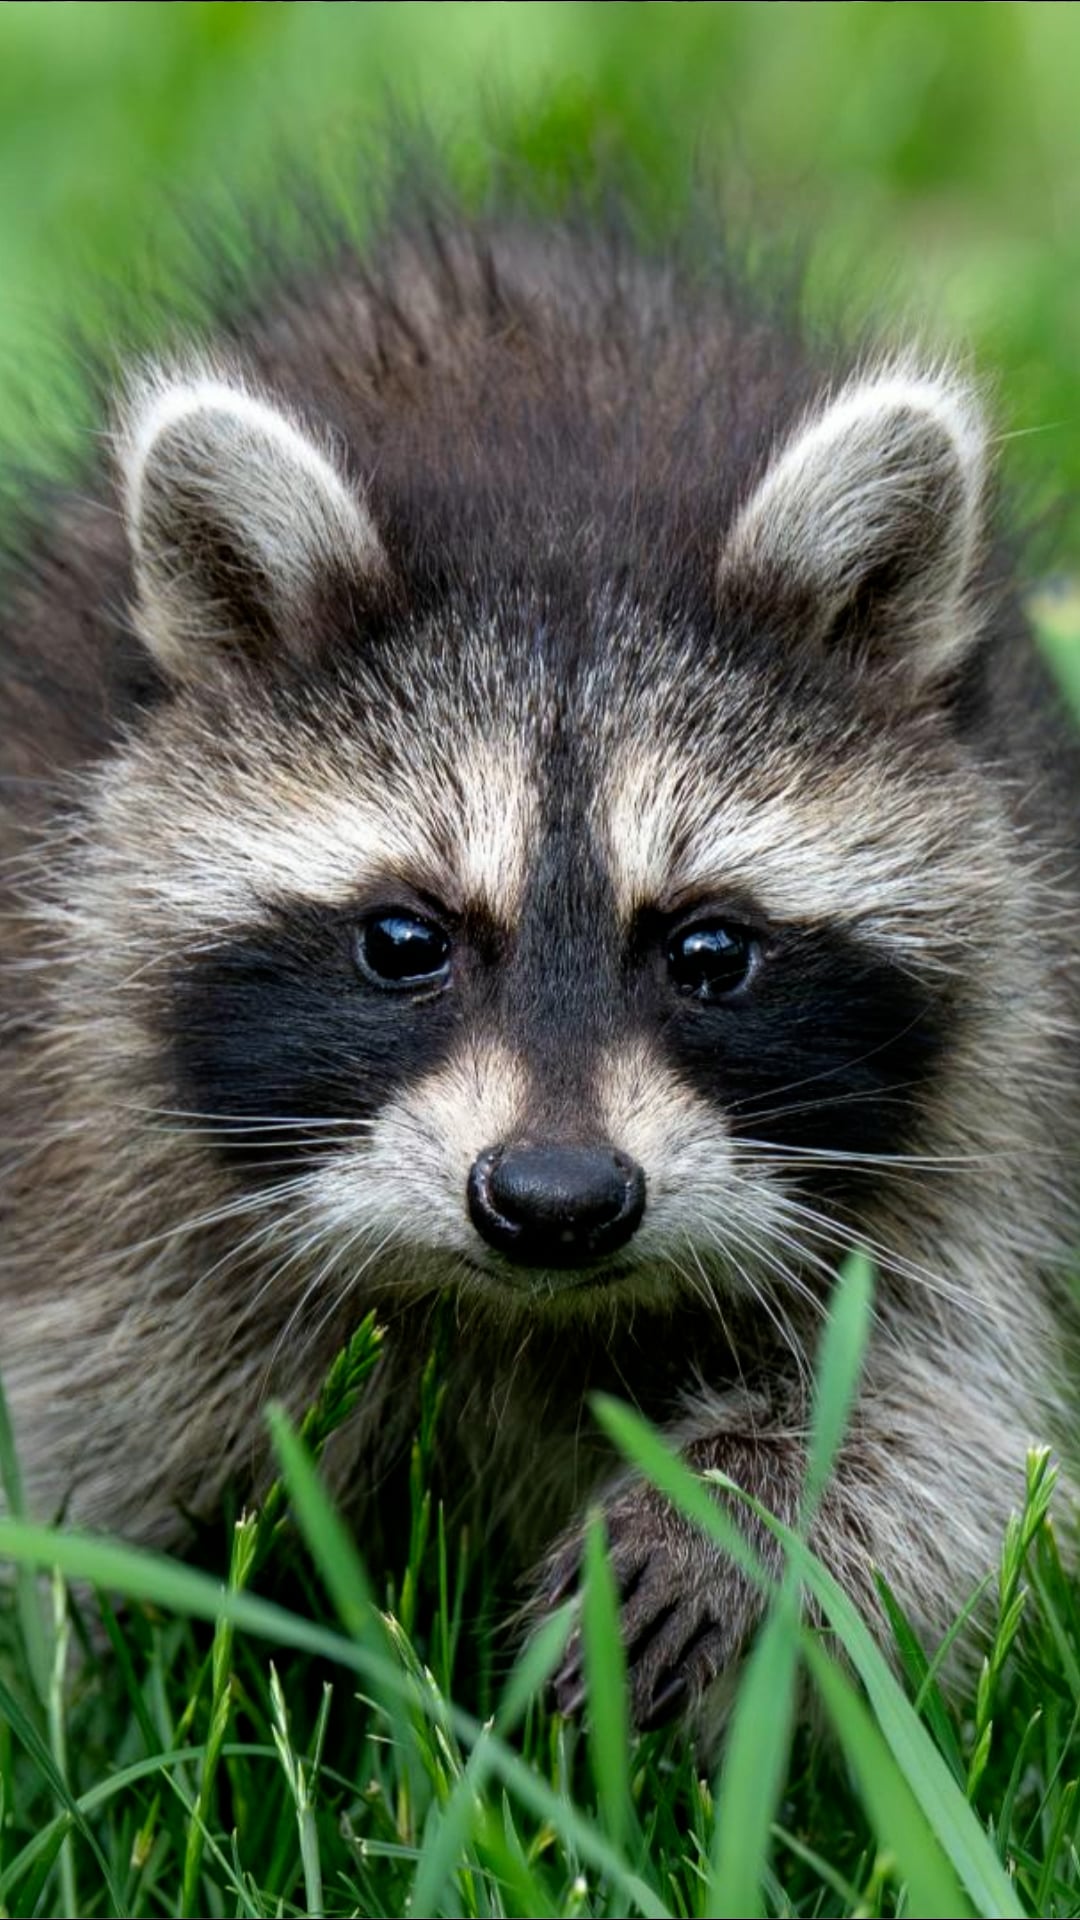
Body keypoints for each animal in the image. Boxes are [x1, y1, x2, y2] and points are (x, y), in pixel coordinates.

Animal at [2, 196, 1079, 1734]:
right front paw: (86, 1688)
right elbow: (85, 1437)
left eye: (710, 949)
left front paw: (736, 1513)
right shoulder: (76, 1119)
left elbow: (946, 1414)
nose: (557, 1202)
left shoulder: (999, 1076)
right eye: (405, 941)